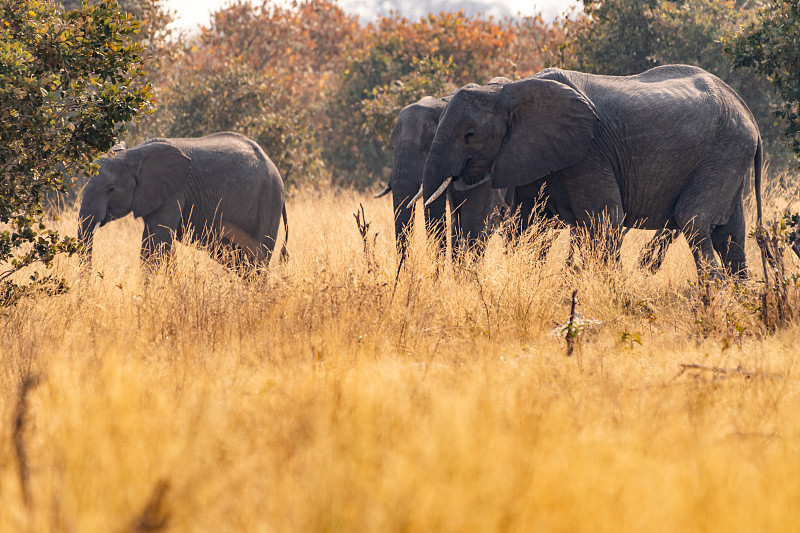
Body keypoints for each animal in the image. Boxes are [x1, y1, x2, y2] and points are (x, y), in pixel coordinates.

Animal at [78, 129, 290, 270]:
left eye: (111, 189)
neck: (135, 154)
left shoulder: (174, 192)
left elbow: (156, 245)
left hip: (267, 204)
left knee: (256, 263)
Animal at [422, 64, 764, 276]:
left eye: (470, 135)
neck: (511, 91)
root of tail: (748, 113)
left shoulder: (588, 152)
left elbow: (604, 221)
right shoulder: (532, 153)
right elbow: (526, 225)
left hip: (723, 152)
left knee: (693, 220)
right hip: (730, 157)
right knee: (729, 235)